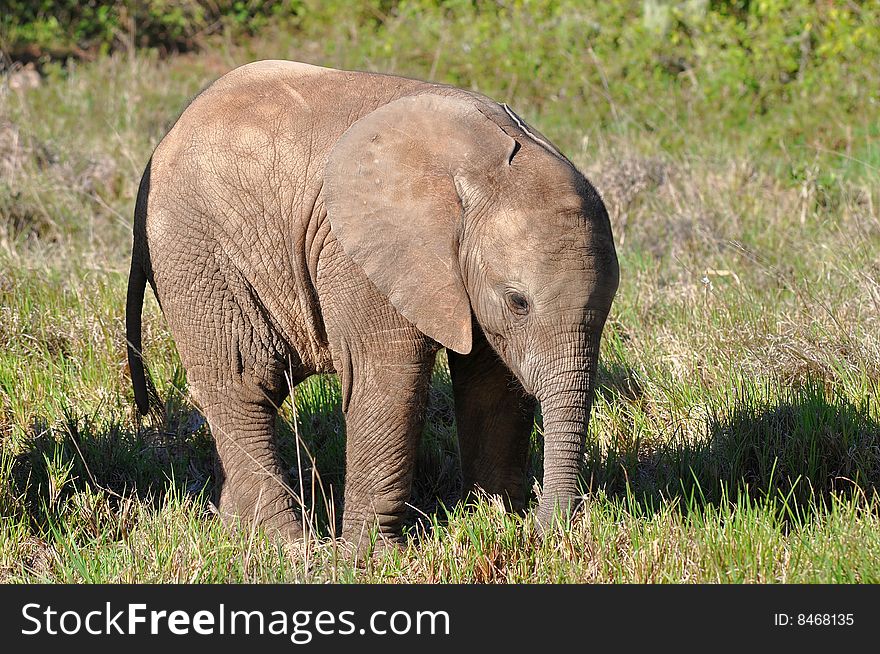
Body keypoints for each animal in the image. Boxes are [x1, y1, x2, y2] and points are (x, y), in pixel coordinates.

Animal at [127, 61, 620, 552]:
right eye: (518, 302)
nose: (549, 532)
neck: (478, 171)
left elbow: (493, 383)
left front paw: (496, 521)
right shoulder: (361, 254)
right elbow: (388, 378)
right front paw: (372, 559)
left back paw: (240, 532)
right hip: (196, 255)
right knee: (245, 383)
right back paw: (289, 547)